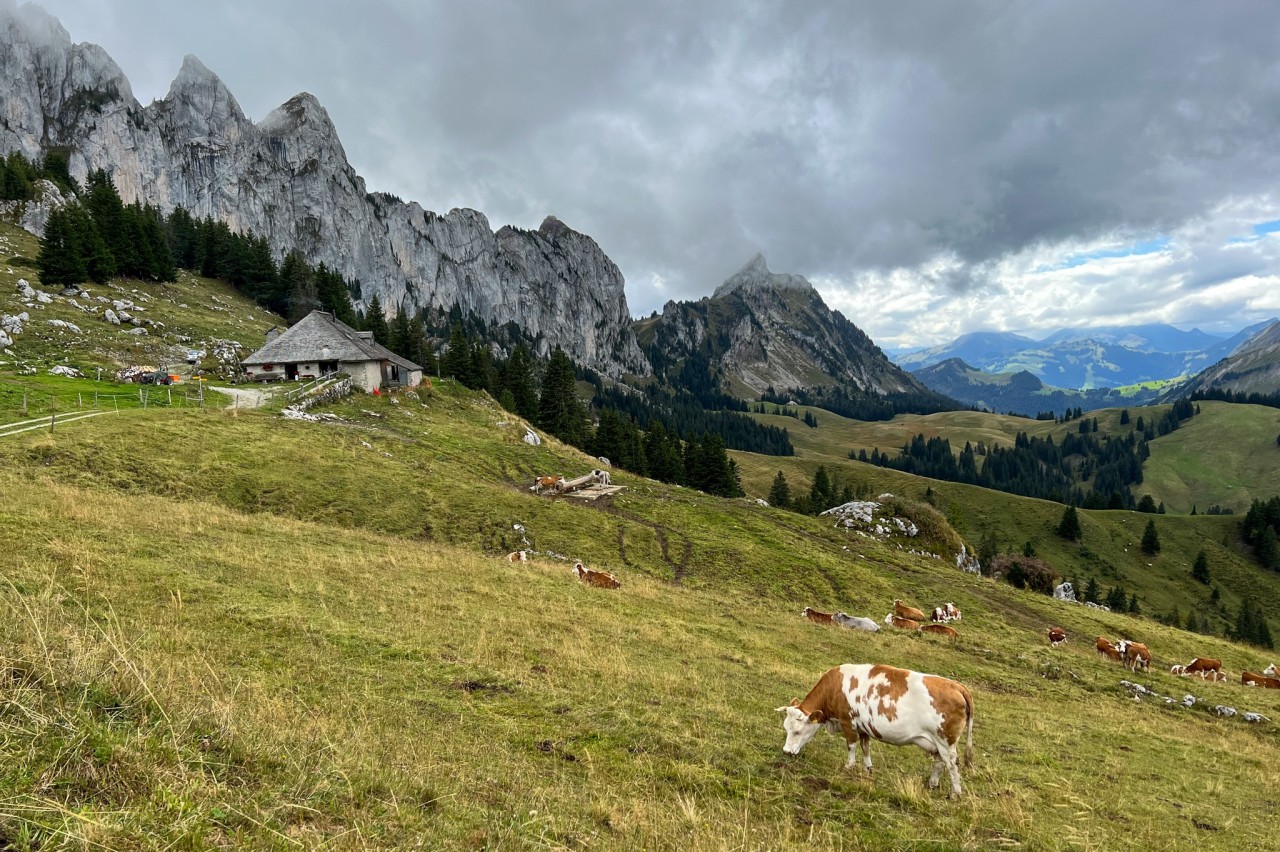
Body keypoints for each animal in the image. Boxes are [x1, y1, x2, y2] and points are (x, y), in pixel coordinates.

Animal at [773, 665, 972, 798]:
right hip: (937, 743)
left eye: (797, 731)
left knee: (952, 765)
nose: (786, 751)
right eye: (786, 727)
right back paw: (932, 783)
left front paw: (848, 766)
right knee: (939, 762)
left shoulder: (848, 722)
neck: (835, 687)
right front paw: (868, 768)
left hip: (946, 741)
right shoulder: (863, 727)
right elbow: (865, 747)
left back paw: (955, 794)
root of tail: (957, 686)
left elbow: (851, 746)